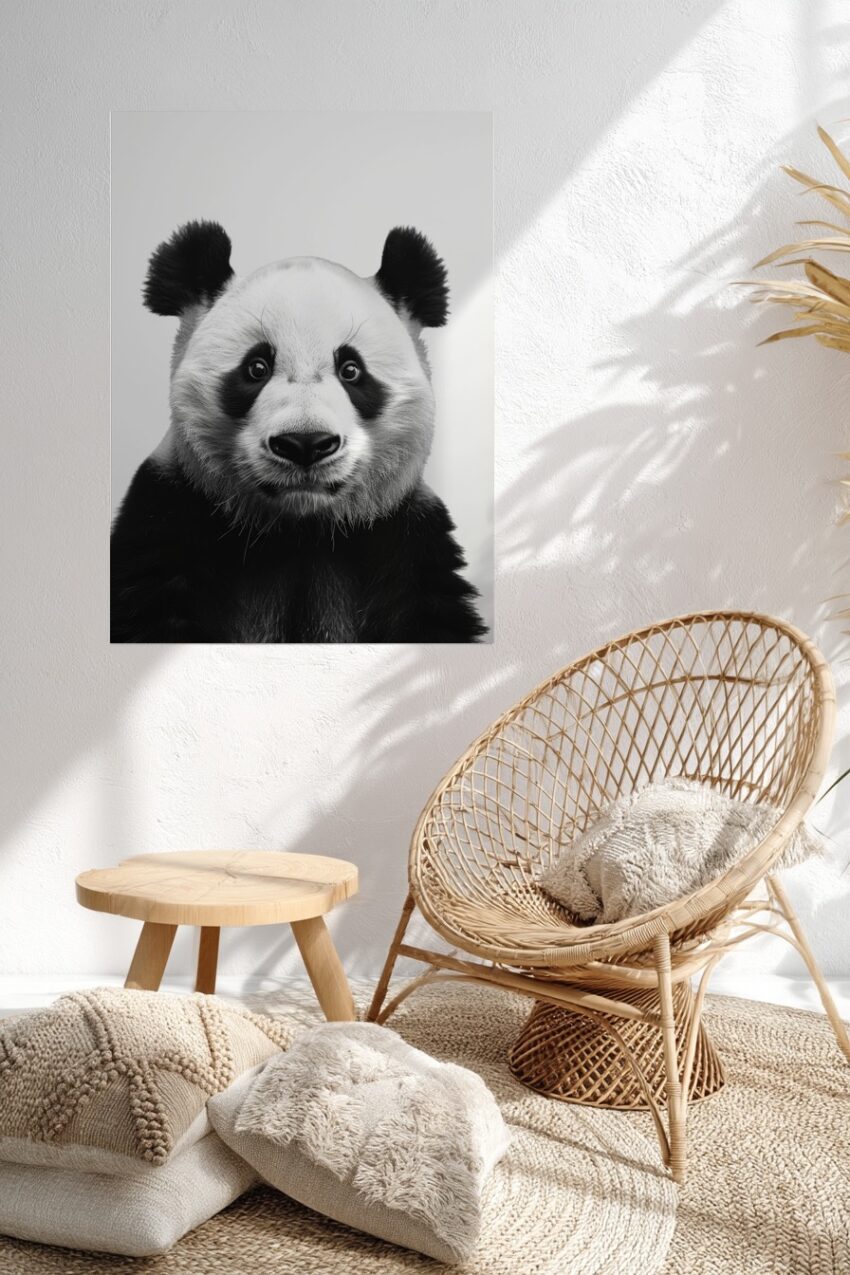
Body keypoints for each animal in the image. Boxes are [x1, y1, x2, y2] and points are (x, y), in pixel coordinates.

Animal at [110, 221, 487, 643]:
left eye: (351, 370)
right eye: (256, 367)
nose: (305, 444)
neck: (300, 532)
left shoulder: (405, 539)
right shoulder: (171, 515)